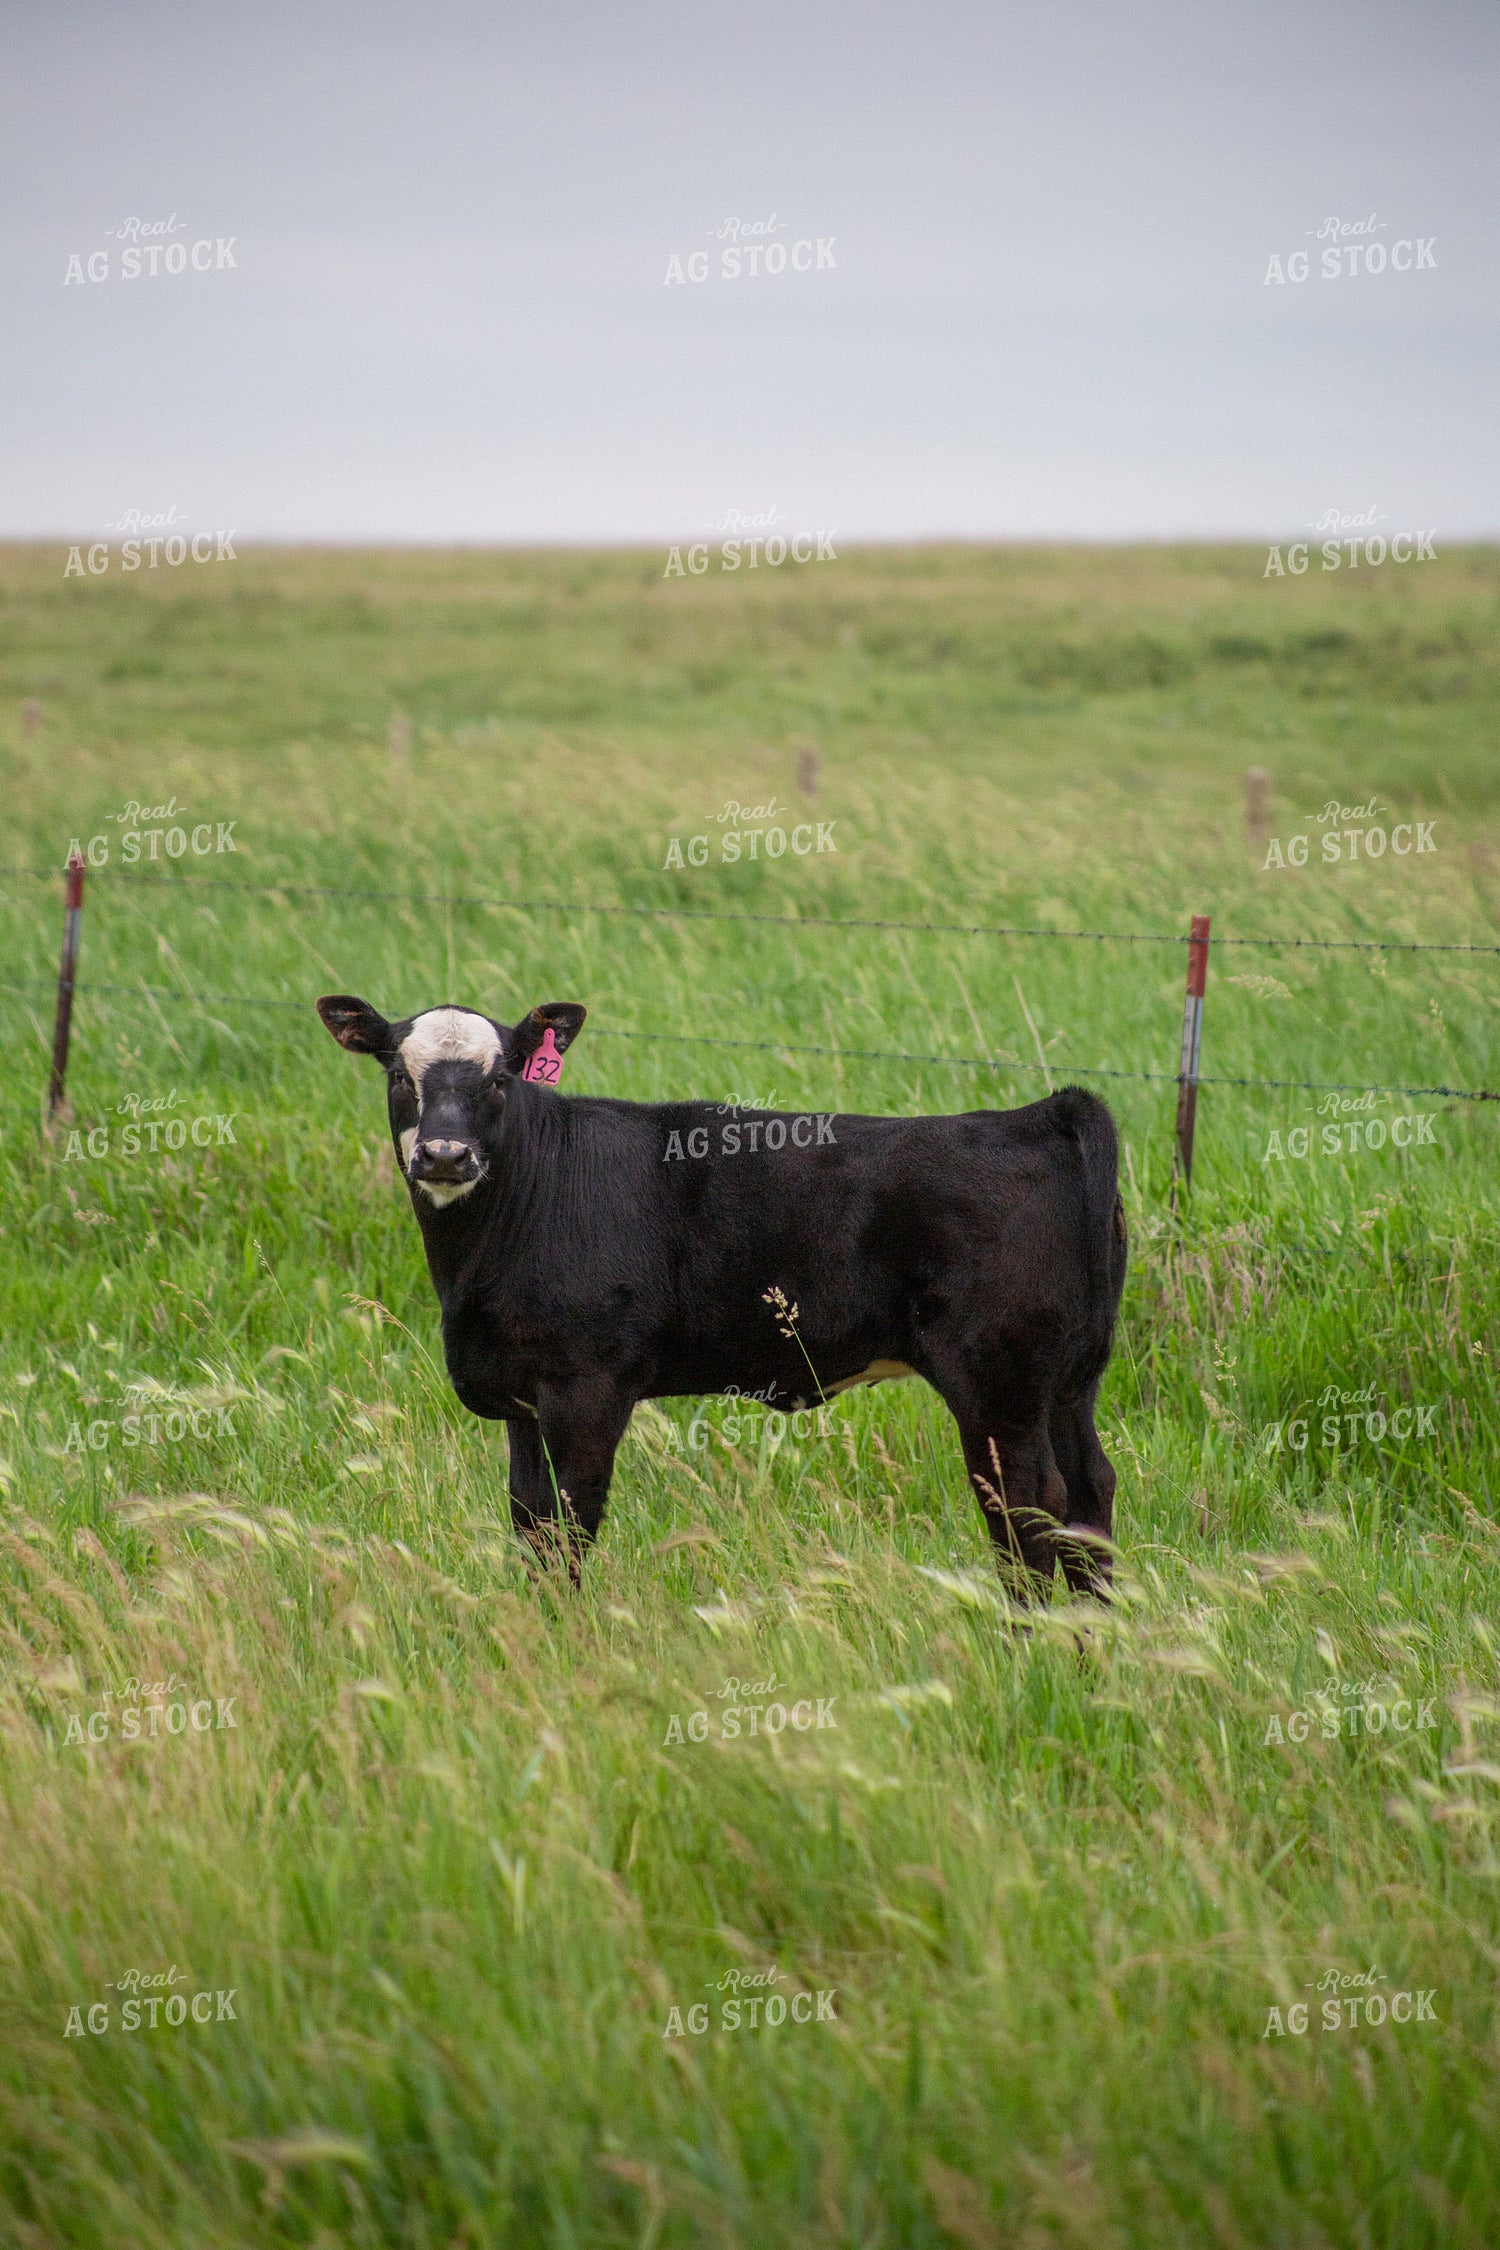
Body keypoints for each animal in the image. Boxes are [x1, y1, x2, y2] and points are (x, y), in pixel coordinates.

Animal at [316, 993, 1127, 1596]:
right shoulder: (523, 1394)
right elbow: (530, 1523)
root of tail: (1036, 1115)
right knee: (1089, 1493)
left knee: (1028, 1505)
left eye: (498, 1080)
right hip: (1069, 1383)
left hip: (997, 1383)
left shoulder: (587, 1388)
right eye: (399, 1077)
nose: (445, 1154)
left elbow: (571, 1524)